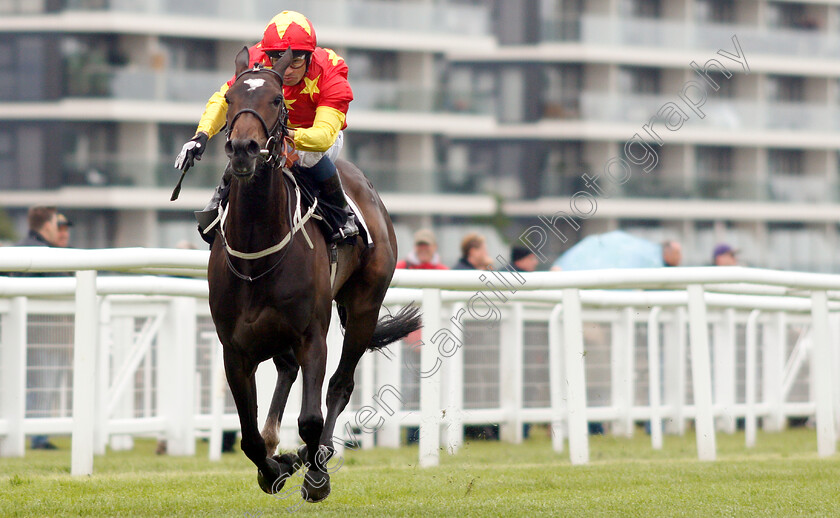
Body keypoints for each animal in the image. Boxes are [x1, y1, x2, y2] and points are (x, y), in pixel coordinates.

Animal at [208, 48, 424, 504]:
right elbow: (249, 437)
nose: (243, 149)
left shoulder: (313, 335)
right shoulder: (234, 349)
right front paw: (276, 466)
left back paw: (316, 457)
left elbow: (311, 417)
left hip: (363, 307)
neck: (256, 253)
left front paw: (315, 475)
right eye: (231, 99)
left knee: (340, 385)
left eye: (276, 101)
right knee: (286, 371)